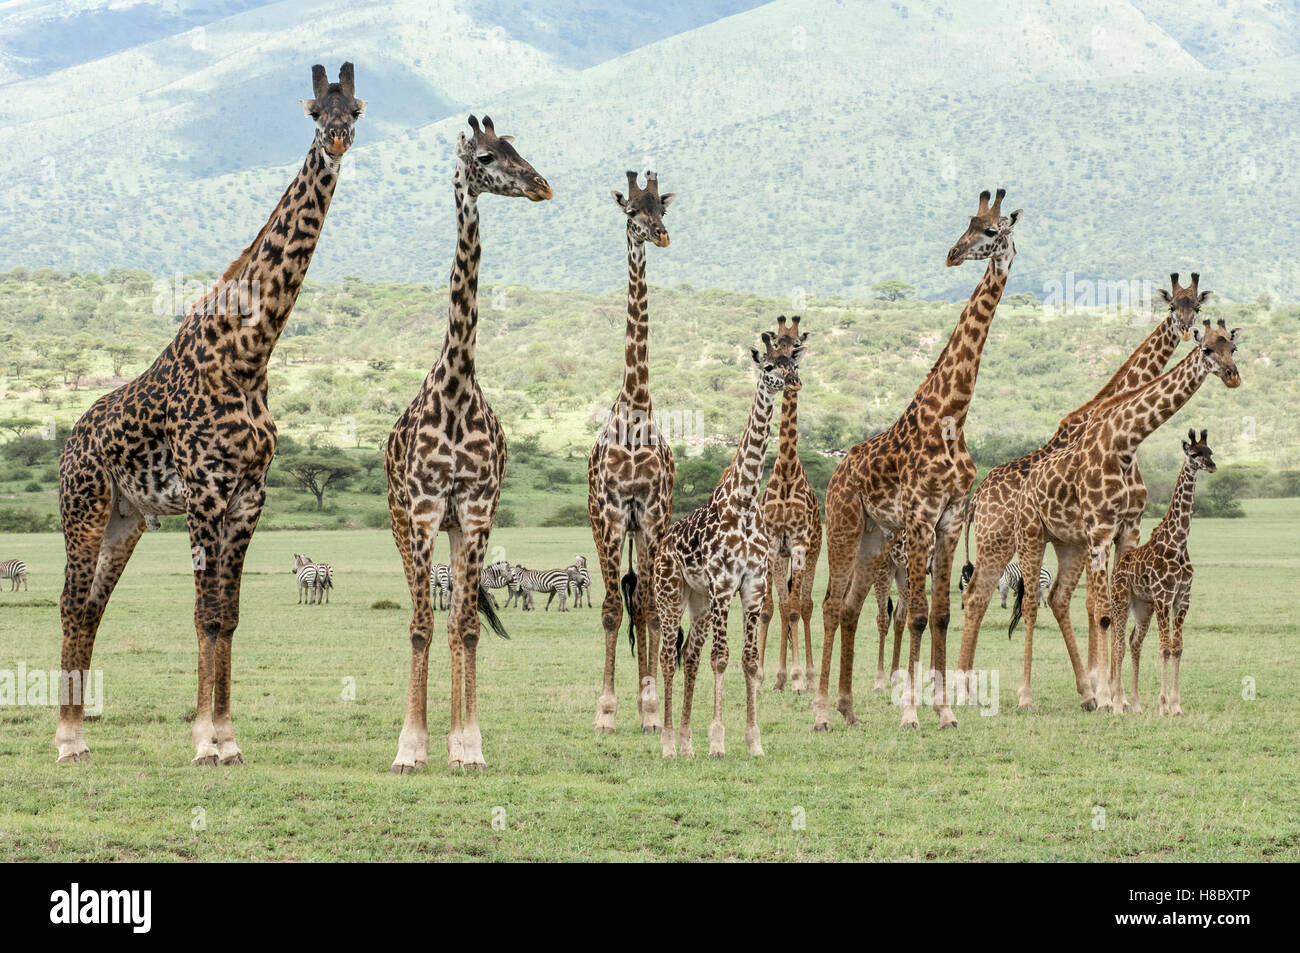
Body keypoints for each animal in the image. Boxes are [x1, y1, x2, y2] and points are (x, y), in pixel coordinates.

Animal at [54, 63, 363, 766]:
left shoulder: (249, 495)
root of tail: (71, 440)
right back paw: (66, 740)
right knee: (69, 603)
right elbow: (204, 613)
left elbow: (229, 615)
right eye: (314, 111)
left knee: (91, 607)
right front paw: (203, 743)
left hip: (127, 520)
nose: (336, 141)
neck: (249, 350)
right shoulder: (203, 491)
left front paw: (228, 739)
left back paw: (79, 736)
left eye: (356, 109)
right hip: (83, 509)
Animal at [386, 115, 552, 773]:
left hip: (459, 530)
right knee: (429, 619)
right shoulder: (425, 512)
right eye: (484, 156)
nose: (541, 185)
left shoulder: (477, 512)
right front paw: (411, 747)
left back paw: (456, 739)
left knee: (460, 620)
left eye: (515, 147)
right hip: (402, 521)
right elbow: (419, 627)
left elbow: (468, 628)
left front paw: (468, 743)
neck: (457, 386)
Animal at [655, 332, 805, 758]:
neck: (744, 502)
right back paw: (668, 743)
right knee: (667, 657)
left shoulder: (752, 586)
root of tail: (661, 546)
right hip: (670, 595)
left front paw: (754, 742)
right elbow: (720, 660)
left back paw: (686, 743)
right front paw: (718, 741)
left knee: (689, 656)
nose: (793, 382)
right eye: (769, 366)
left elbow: (749, 661)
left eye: (794, 363)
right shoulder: (724, 585)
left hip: (699, 601)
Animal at [812, 189, 1022, 732]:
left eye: (992, 231)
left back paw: (848, 709)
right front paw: (910, 712)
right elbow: (919, 616)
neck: (952, 415)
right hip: (844, 526)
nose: (952, 253)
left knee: (850, 609)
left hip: (873, 538)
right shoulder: (921, 516)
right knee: (828, 605)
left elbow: (943, 614)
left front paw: (945, 712)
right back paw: (820, 712)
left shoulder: (949, 518)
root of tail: (836, 472)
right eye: (968, 222)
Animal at [1109, 430, 1216, 716]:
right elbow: (1165, 648)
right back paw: (1117, 702)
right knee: (1118, 644)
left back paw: (1135, 704)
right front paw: (1163, 705)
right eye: (1194, 454)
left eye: (1211, 451)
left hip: (1142, 606)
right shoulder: (1163, 597)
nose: (1212, 466)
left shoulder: (1182, 599)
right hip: (1121, 600)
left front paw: (1176, 705)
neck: (1178, 543)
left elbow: (1177, 648)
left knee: (1134, 642)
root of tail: (1117, 566)